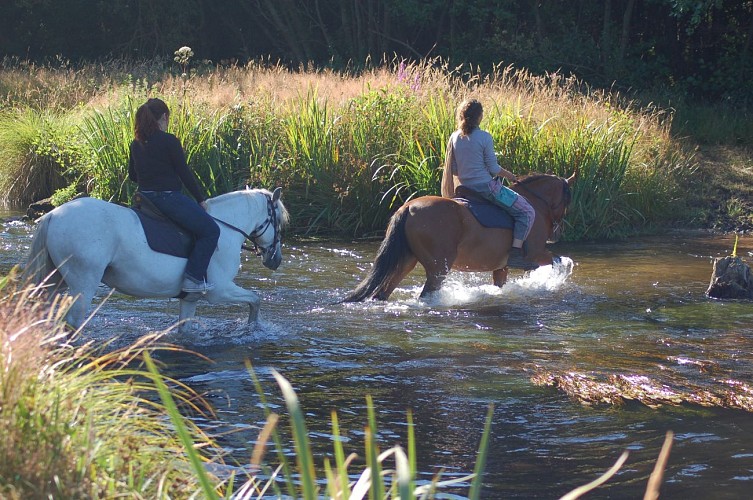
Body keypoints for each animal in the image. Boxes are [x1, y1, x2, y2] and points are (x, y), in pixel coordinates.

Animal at [23, 187, 288, 332]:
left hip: (55, 280)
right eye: (279, 222)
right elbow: (255, 300)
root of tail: (54, 214)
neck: (226, 228)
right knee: (73, 321)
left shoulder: (190, 299)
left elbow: (185, 329)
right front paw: (253, 329)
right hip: (83, 283)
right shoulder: (220, 291)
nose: (275, 260)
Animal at [343, 173, 575, 302]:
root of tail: (408, 208)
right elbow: (560, 261)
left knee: (383, 292)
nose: (557, 233)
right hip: (438, 268)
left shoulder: (501, 267)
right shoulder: (537, 253)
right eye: (567, 199)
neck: (536, 204)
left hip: (406, 262)